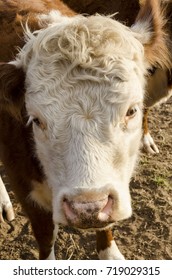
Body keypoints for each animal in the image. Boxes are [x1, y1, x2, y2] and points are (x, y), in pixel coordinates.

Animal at [0, 0, 170, 260]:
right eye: (36, 120)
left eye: (131, 110)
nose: (88, 207)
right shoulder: (26, 190)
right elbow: (46, 235)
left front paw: (110, 254)